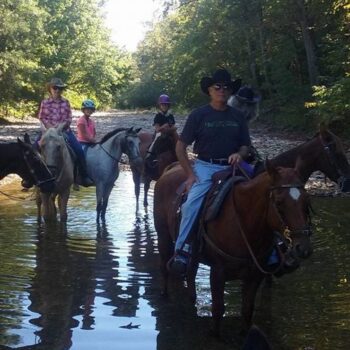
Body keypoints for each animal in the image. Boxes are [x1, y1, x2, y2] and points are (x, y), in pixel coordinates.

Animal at [153, 160, 312, 334]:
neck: (243, 221)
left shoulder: (255, 274)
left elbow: (247, 309)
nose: (303, 248)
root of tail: (170, 169)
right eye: (279, 202)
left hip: (193, 256)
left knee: (190, 275)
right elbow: (217, 309)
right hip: (163, 237)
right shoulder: (218, 271)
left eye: (306, 201)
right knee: (164, 269)